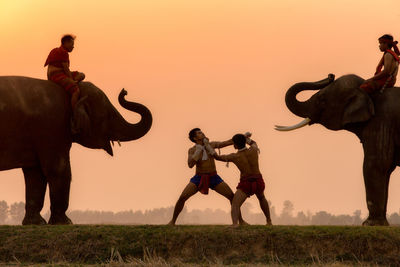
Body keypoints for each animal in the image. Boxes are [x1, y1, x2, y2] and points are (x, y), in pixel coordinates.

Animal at [0, 76, 152, 225]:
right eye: (107, 115)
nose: (124, 92)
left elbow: (35, 174)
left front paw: (36, 223)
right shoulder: (52, 129)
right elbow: (58, 169)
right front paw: (65, 222)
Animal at [278, 73, 400, 226]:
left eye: (322, 101)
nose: (330, 75)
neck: (366, 89)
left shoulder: (381, 123)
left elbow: (376, 164)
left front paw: (369, 224)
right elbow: (387, 169)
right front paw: (381, 225)